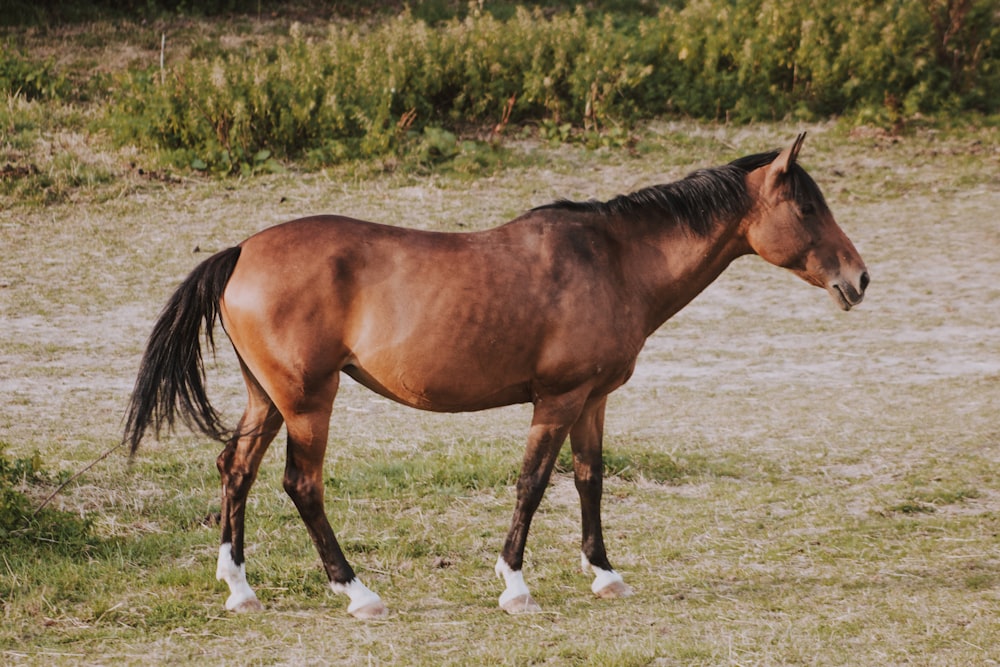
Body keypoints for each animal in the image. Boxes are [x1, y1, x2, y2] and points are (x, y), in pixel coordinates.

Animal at [123, 134, 868, 620]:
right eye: (807, 208)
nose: (858, 279)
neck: (613, 260)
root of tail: (243, 250)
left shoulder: (592, 400)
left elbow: (590, 479)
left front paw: (604, 573)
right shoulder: (557, 399)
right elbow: (533, 484)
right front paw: (515, 585)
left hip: (268, 398)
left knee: (236, 470)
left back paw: (240, 588)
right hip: (309, 400)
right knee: (300, 485)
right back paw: (357, 592)